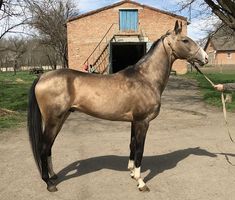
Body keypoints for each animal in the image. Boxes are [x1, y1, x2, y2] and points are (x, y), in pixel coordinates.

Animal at [27, 20, 207, 192]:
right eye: (185, 40)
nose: (205, 58)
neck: (146, 79)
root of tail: (42, 76)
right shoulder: (143, 122)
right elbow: (140, 150)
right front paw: (141, 182)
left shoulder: (134, 122)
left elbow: (132, 145)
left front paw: (132, 173)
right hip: (54, 120)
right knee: (43, 147)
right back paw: (49, 183)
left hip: (61, 118)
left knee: (49, 147)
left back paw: (53, 175)